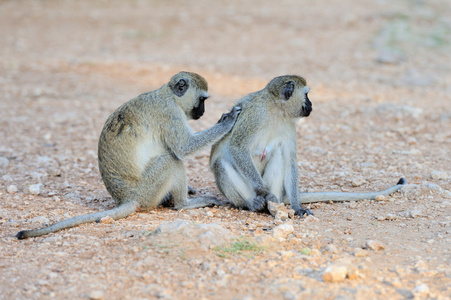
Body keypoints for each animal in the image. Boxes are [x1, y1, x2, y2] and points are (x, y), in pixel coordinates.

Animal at [16, 71, 244, 239]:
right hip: (147, 190)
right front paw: (227, 120)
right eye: (202, 100)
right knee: (171, 160)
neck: (169, 95)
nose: (203, 112)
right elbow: (183, 148)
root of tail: (127, 197)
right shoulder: (170, 114)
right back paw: (183, 204)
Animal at [210, 75, 408, 216]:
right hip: (246, 191)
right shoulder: (254, 115)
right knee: (221, 165)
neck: (276, 110)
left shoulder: (289, 125)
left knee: (280, 154)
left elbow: (290, 160)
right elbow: (238, 148)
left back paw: (274, 205)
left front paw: (297, 206)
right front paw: (264, 193)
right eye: (306, 94)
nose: (311, 105)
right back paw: (254, 203)